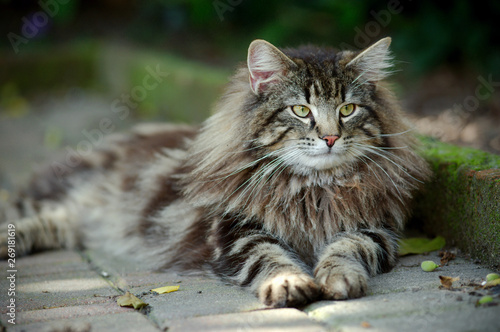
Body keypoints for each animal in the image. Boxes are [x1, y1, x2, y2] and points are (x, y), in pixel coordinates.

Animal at [0, 37, 430, 308]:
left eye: (347, 109)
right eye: (300, 110)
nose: (329, 138)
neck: (313, 190)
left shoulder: (375, 227)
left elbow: (346, 249)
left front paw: (338, 278)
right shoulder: (235, 232)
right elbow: (271, 258)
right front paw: (290, 283)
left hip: (70, 222)